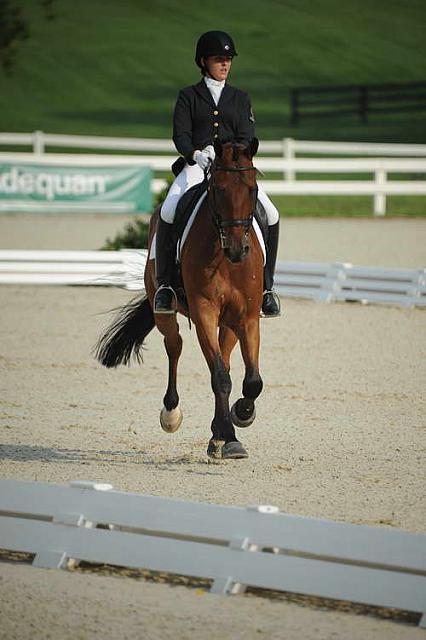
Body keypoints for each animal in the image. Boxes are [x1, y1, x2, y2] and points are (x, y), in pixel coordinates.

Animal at [95, 140, 264, 460]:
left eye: (252, 189)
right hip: (165, 311)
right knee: (174, 346)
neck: (224, 259)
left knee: (224, 358)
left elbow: (251, 381)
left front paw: (241, 415)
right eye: (218, 189)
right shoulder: (204, 313)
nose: (238, 250)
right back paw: (171, 413)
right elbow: (220, 377)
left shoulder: (247, 317)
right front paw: (230, 435)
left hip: (229, 322)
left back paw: (218, 431)